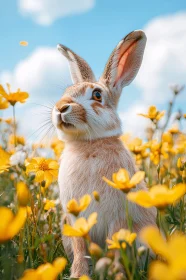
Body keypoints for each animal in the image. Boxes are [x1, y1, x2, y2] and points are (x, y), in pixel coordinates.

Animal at [52, 30, 157, 278]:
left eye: (97, 95)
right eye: (66, 93)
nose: (60, 108)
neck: (89, 145)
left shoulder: (118, 218)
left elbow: (115, 246)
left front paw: (117, 275)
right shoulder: (75, 218)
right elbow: (80, 249)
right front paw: (79, 275)